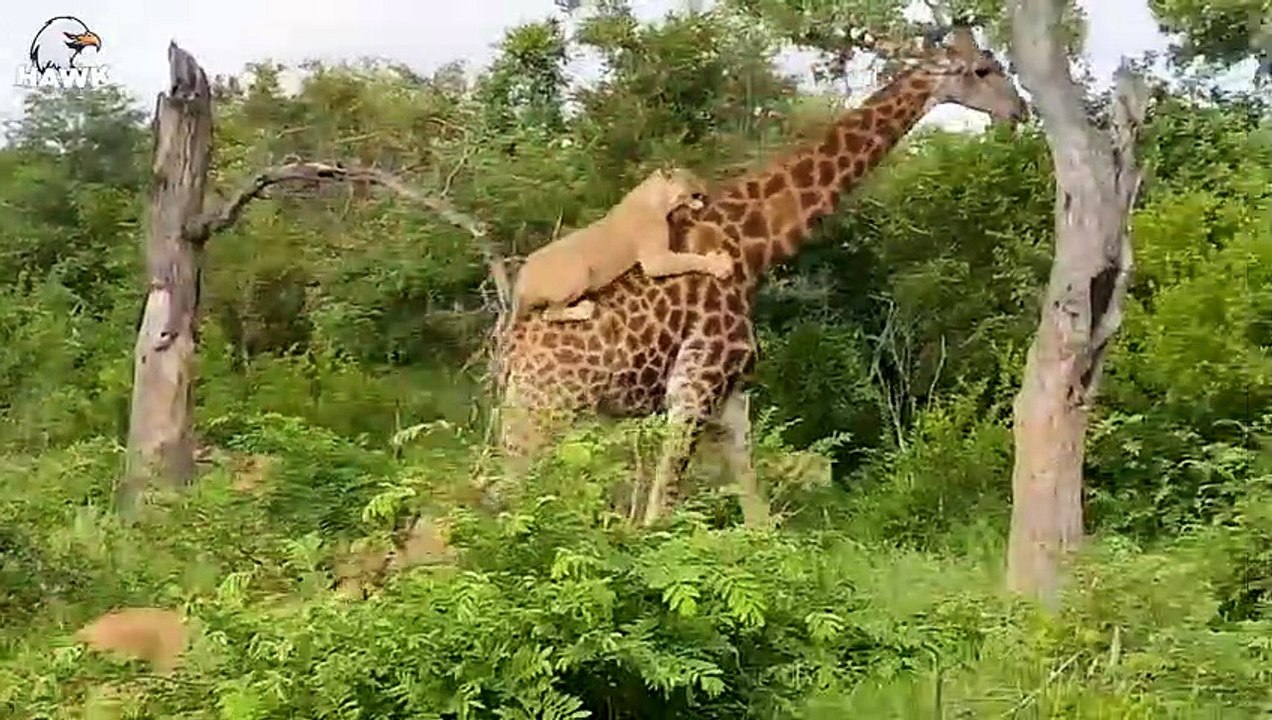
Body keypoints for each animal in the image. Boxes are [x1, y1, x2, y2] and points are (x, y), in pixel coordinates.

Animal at [511, 167, 733, 323]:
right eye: (691, 178)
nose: (705, 185)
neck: (656, 197)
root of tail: (519, 282)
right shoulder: (655, 260)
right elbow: (688, 259)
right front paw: (720, 265)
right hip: (577, 272)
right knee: (549, 313)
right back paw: (584, 309)